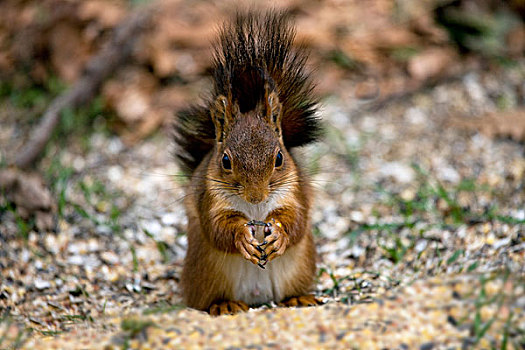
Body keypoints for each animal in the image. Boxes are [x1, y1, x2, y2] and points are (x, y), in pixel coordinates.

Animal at [173, 10, 320, 318]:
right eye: (226, 161)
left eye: (279, 158)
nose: (256, 195)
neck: (255, 209)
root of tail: (257, 298)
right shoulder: (210, 199)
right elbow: (217, 228)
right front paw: (241, 236)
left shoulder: (295, 192)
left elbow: (297, 220)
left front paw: (280, 235)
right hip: (206, 274)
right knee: (209, 299)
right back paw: (224, 304)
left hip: (300, 268)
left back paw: (298, 298)